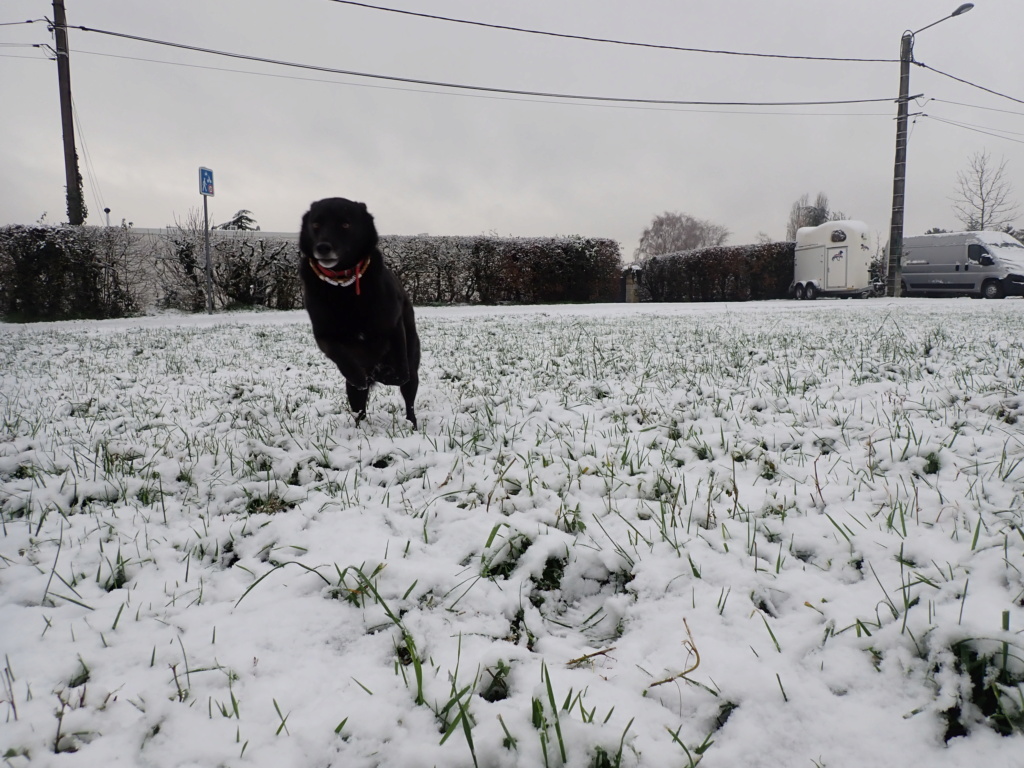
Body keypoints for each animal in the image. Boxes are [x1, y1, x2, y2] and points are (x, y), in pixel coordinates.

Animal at [299, 196, 419, 428]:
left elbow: (400, 364)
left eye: (346, 224)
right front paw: (358, 376)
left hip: (413, 365)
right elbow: (339, 354)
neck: (344, 285)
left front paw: (392, 375)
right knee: (359, 409)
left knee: (409, 400)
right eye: (316, 224)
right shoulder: (323, 334)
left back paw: (411, 423)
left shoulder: (393, 323)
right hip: (353, 393)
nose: (323, 247)